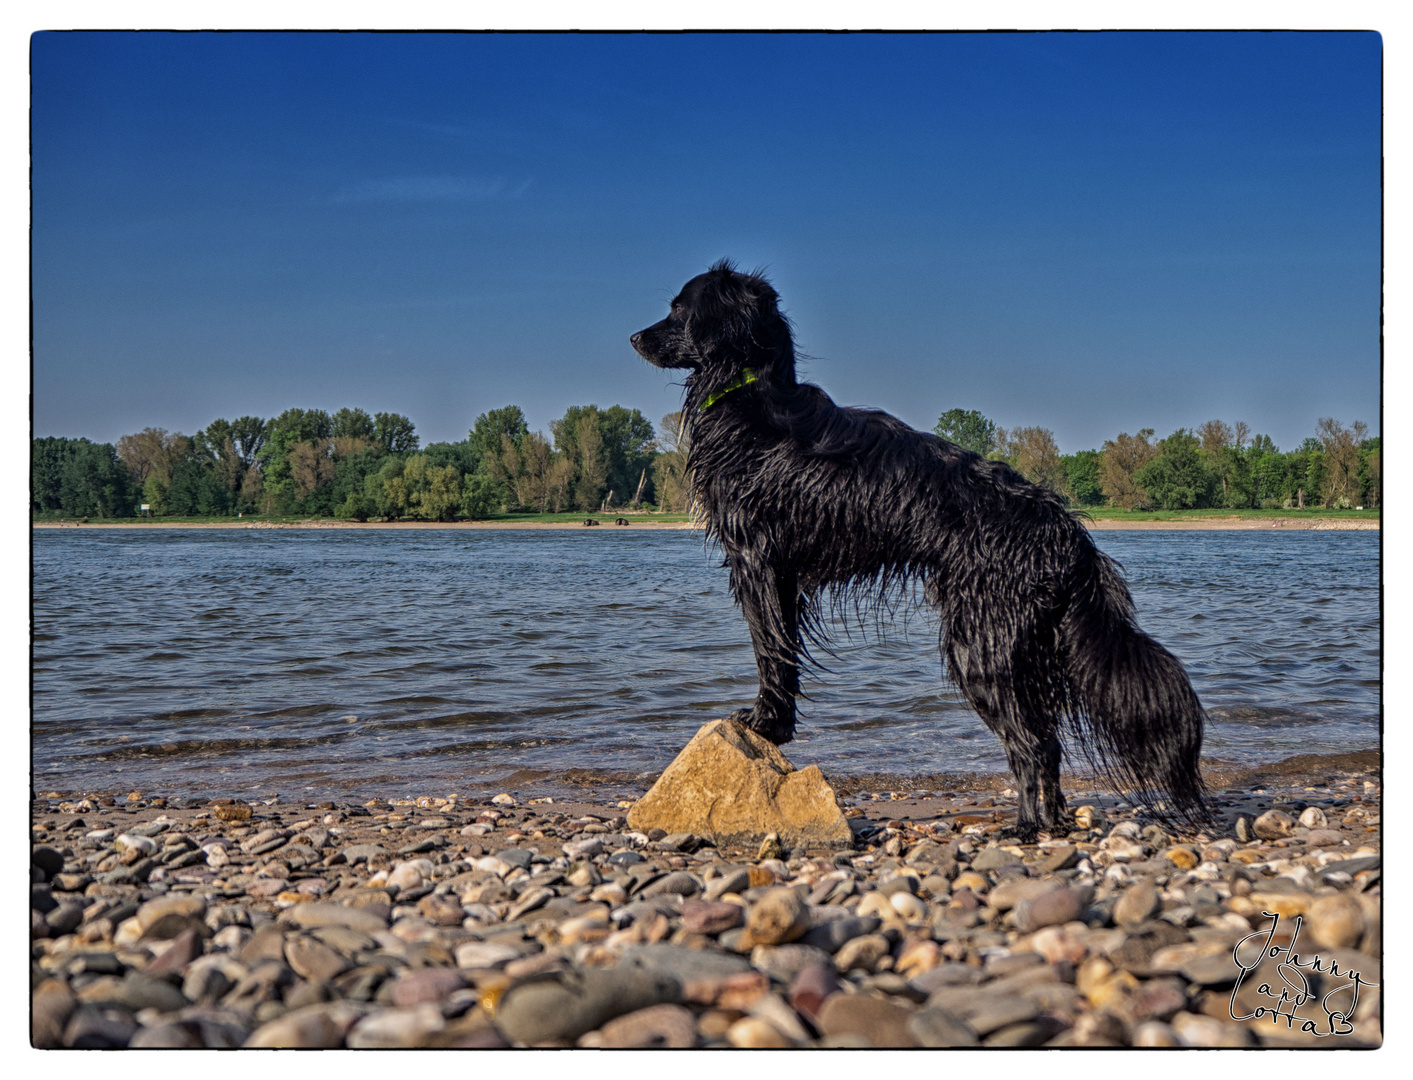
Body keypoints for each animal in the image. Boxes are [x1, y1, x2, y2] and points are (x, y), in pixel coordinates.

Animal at [635, 260, 1209, 836]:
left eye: (679, 309)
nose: (635, 337)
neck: (748, 395)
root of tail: (1065, 531)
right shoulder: (784, 575)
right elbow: (784, 651)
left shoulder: (758, 560)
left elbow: (771, 651)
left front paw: (764, 724)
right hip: (1026, 648)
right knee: (1048, 742)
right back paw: (1052, 823)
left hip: (980, 644)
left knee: (1032, 744)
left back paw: (1024, 828)